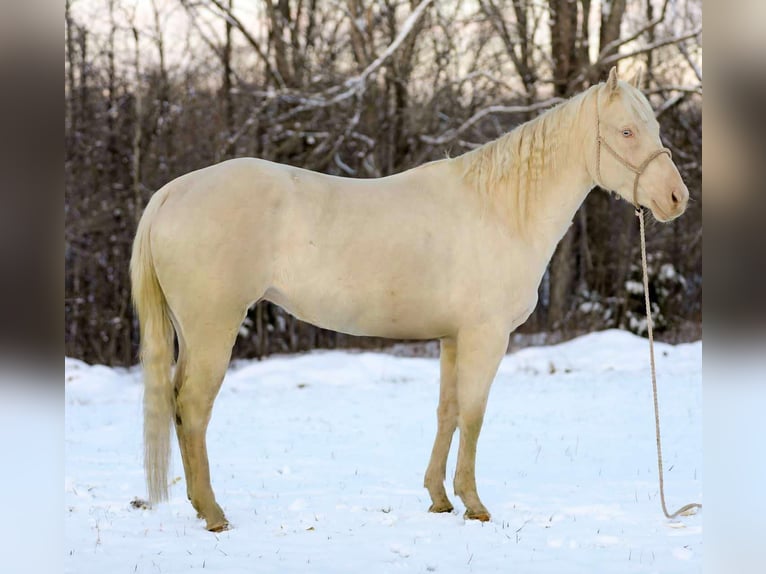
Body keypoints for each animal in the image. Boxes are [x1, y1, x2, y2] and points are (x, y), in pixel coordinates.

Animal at [131, 67, 689, 531]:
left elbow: (447, 411)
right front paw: (474, 504)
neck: (499, 210)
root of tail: (172, 193)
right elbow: (474, 413)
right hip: (214, 330)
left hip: (192, 334)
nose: (677, 199)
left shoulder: (452, 338)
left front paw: (439, 498)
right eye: (626, 131)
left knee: (178, 405)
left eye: (654, 127)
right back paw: (213, 513)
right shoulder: (486, 337)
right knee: (193, 408)